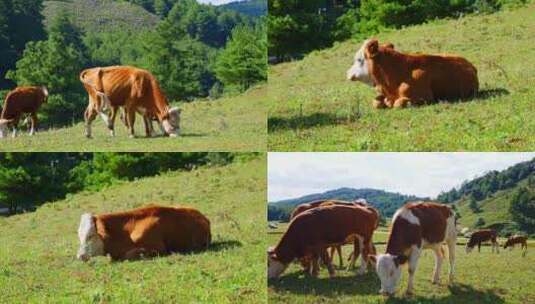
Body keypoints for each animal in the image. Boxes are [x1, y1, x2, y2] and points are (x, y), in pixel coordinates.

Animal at [77, 204, 211, 262]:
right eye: (80, 236)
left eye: (90, 236)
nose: (80, 256)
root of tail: (203, 217)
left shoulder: (158, 248)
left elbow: (130, 254)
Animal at [348, 38, 482, 108]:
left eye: (359, 59)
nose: (347, 73)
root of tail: (470, 64)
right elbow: (376, 102)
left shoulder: (426, 97)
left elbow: (398, 103)